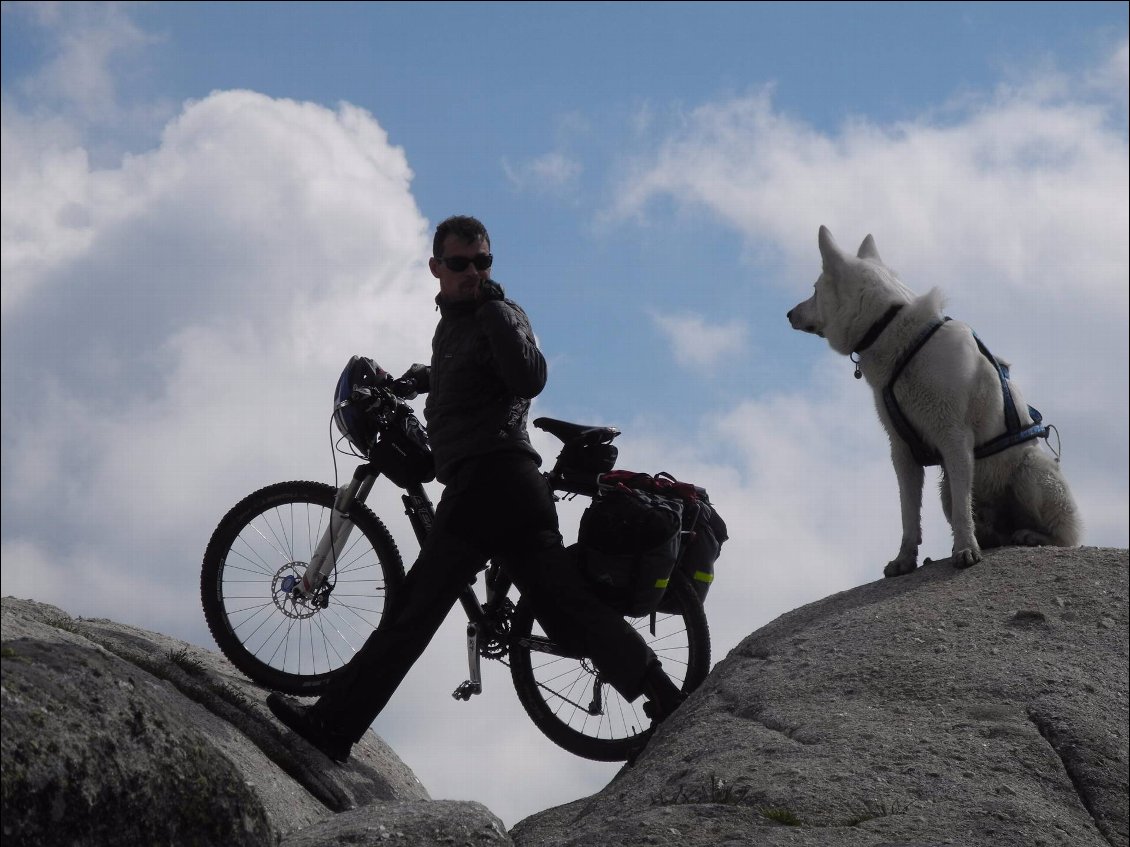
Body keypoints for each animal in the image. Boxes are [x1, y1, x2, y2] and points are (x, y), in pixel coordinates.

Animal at [791, 225, 1080, 578]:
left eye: (815, 290)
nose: (788, 314)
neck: (893, 330)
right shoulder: (902, 451)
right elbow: (908, 515)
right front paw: (904, 560)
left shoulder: (954, 439)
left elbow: (961, 513)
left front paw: (966, 551)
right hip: (947, 492)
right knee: (984, 523)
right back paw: (990, 536)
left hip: (1031, 475)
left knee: (1065, 537)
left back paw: (1029, 536)